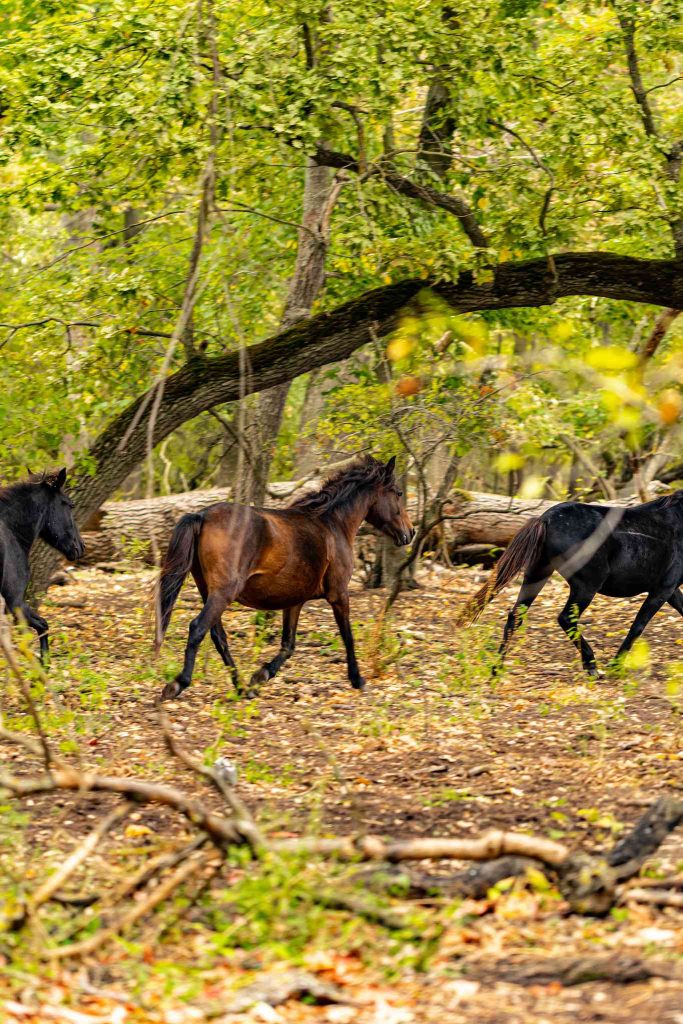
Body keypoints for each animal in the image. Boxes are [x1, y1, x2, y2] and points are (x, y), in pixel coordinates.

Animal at [0, 468, 85, 659]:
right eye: (70, 505)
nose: (81, 547)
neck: (12, 533)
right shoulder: (15, 603)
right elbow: (43, 625)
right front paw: (44, 662)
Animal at [154, 456, 413, 704]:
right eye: (398, 493)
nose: (410, 533)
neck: (332, 524)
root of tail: (202, 515)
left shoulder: (295, 601)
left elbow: (288, 645)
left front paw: (260, 676)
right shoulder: (339, 594)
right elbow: (348, 637)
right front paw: (358, 679)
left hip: (208, 591)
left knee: (218, 636)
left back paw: (241, 687)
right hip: (223, 592)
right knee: (198, 628)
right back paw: (177, 684)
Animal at [458, 491, 683, 675]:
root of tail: (545, 519)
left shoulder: (671, 590)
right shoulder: (663, 589)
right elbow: (638, 626)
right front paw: (615, 666)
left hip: (537, 575)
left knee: (516, 615)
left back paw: (496, 669)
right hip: (586, 586)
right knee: (565, 618)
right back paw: (591, 666)